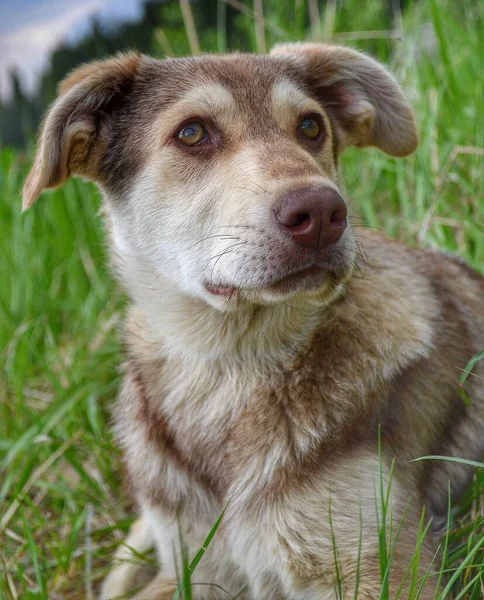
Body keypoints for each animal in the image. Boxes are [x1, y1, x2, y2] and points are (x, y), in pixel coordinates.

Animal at [23, 44, 484, 596]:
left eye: (311, 126)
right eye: (192, 133)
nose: (323, 212)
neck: (229, 364)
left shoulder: (375, 561)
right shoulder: (192, 564)